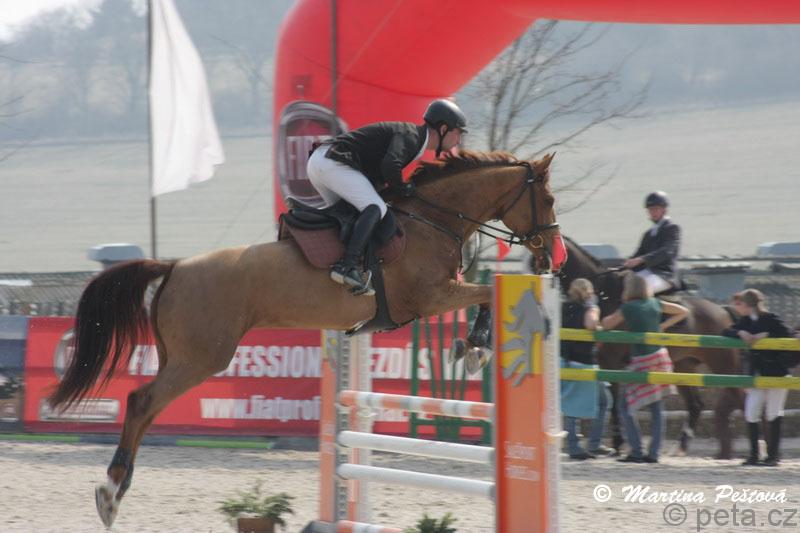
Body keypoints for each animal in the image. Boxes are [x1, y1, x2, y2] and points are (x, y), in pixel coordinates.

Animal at [48, 150, 565, 527]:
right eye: (549, 200)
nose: (554, 261)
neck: (431, 220)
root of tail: (174, 266)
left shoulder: (434, 297)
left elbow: (484, 295)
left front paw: (473, 347)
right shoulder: (432, 296)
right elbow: (486, 293)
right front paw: (476, 347)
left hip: (181, 355)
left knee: (147, 406)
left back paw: (117, 488)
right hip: (202, 358)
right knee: (140, 402)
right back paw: (110, 493)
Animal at [558, 236, 743, 459]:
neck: (605, 293)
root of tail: (723, 311)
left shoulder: (610, 361)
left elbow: (613, 404)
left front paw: (617, 444)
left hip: (723, 364)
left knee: (739, 398)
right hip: (684, 366)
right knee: (696, 405)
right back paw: (680, 448)